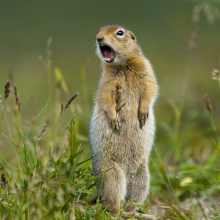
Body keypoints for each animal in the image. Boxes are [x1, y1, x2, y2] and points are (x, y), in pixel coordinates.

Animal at [89, 26, 158, 217]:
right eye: (100, 29)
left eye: (120, 32)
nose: (98, 38)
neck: (123, 65)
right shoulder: (106, 81)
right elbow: (106, 98)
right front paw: (116, 120)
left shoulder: (147, 69)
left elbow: (150, 89)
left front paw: (142, 113)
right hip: (112, 173)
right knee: (111, 199)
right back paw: (117, 212)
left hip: (141, 177)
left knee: (132, 197)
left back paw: (132, 212)